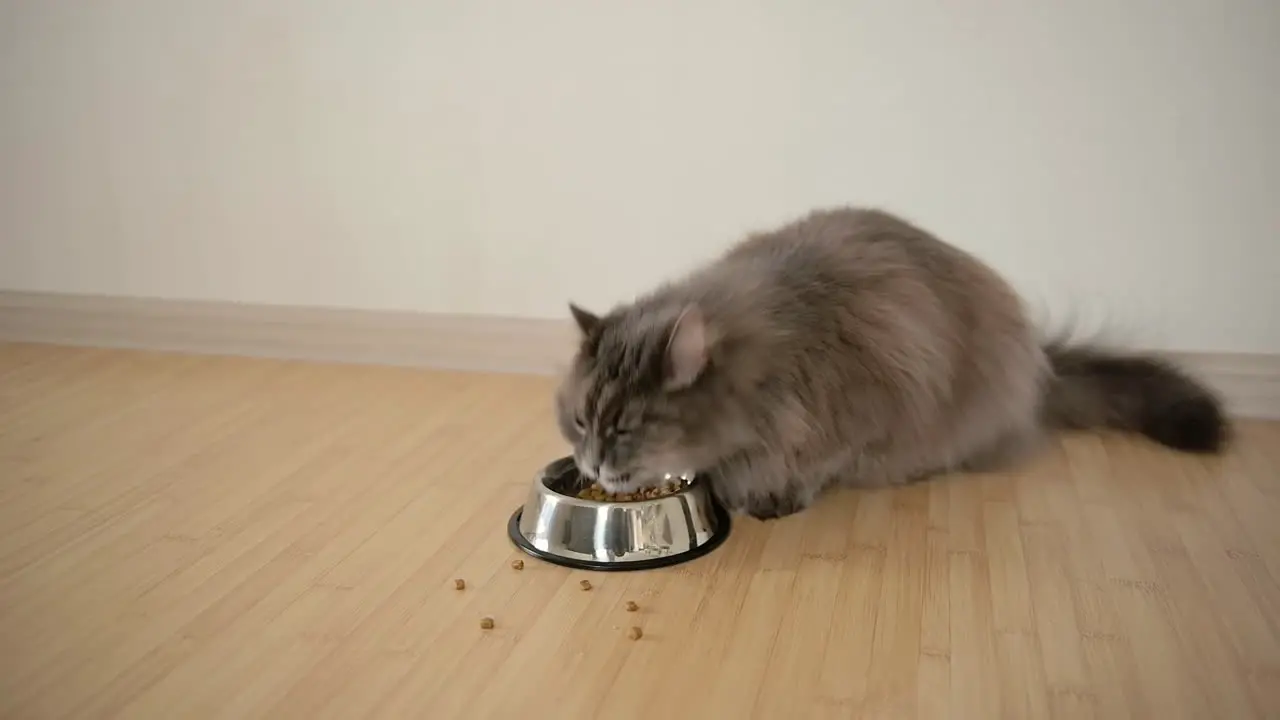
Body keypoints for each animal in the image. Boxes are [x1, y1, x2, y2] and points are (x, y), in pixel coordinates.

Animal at [552, 204, 1228, 517]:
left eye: (626, 428)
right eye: (581, 422)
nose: (593, 462)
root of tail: (1040, 364)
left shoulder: (870, 407)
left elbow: (817, 464)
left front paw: (776, 494)